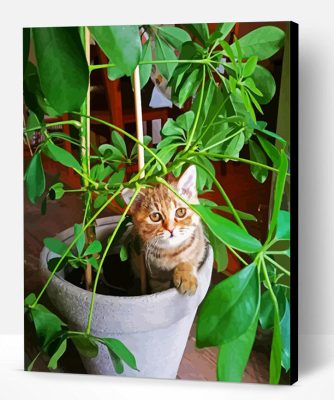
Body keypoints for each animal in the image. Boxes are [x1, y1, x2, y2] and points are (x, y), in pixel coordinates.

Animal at [121, 165, 207, 294]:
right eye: (155, 216)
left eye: (180, 212)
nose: (170, 229)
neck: (171, 252)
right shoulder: (155, 273)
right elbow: (159, 287)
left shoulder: (199, 246)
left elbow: (189, 259)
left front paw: (186, 276)